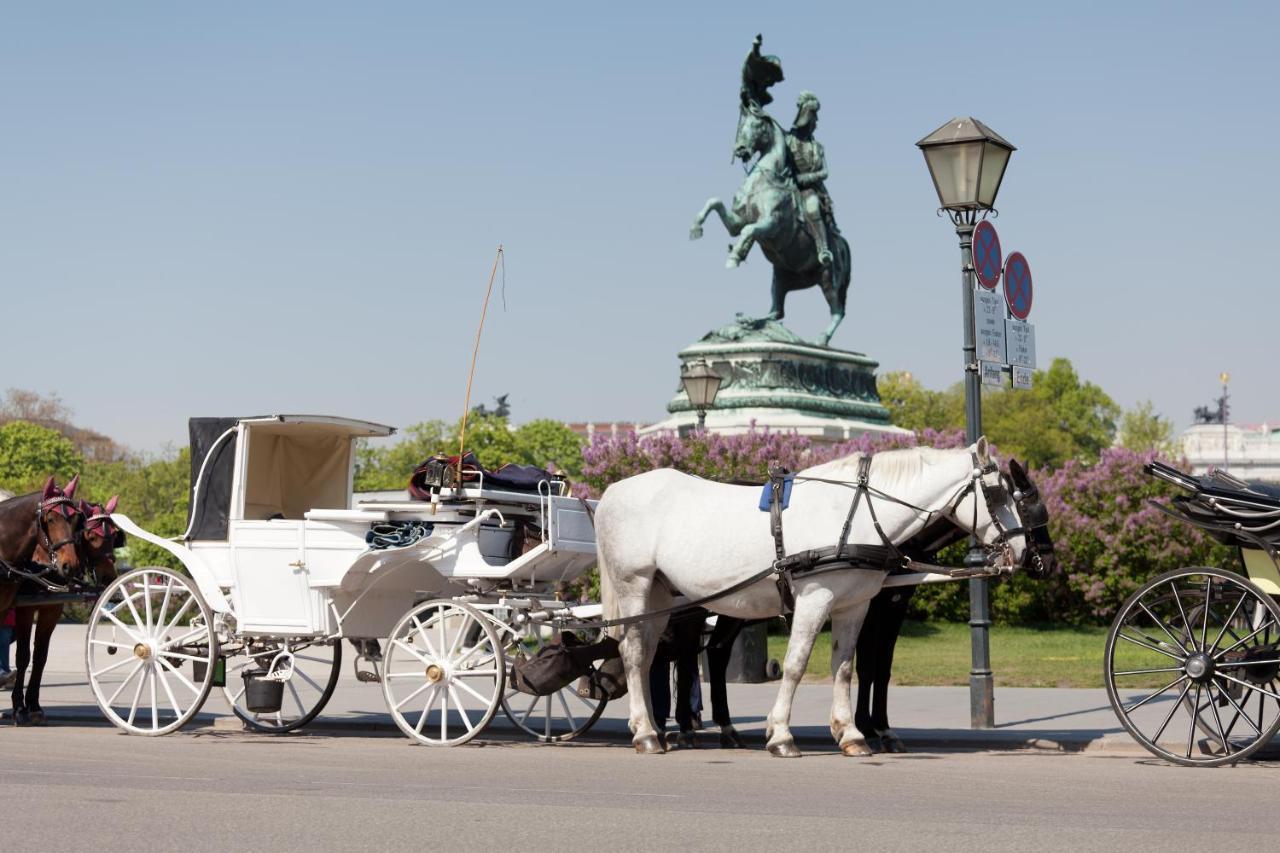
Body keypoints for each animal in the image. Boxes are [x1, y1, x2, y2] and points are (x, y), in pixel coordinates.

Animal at [10, 494, 120, 722]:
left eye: (115, 536)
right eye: (91, 536)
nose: (109, 578)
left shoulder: (51, 611)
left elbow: (40, 657)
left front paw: (33, 705)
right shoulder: (24, 610)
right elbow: (23, 656)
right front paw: (18, 707)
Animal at [593, 435, 1034, 753]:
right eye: (997, 494)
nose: (1024, 552)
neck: (857, 513)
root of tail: (613, 490)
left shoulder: (855, 605)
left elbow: (845, 667)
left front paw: (850, 733)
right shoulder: (814, 599)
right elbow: (796, 664)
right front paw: (781, 734)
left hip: (661, 596)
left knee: (650, 654)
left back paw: (653, 727)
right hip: (635, 586)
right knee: (636, 654)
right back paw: (649, 733)